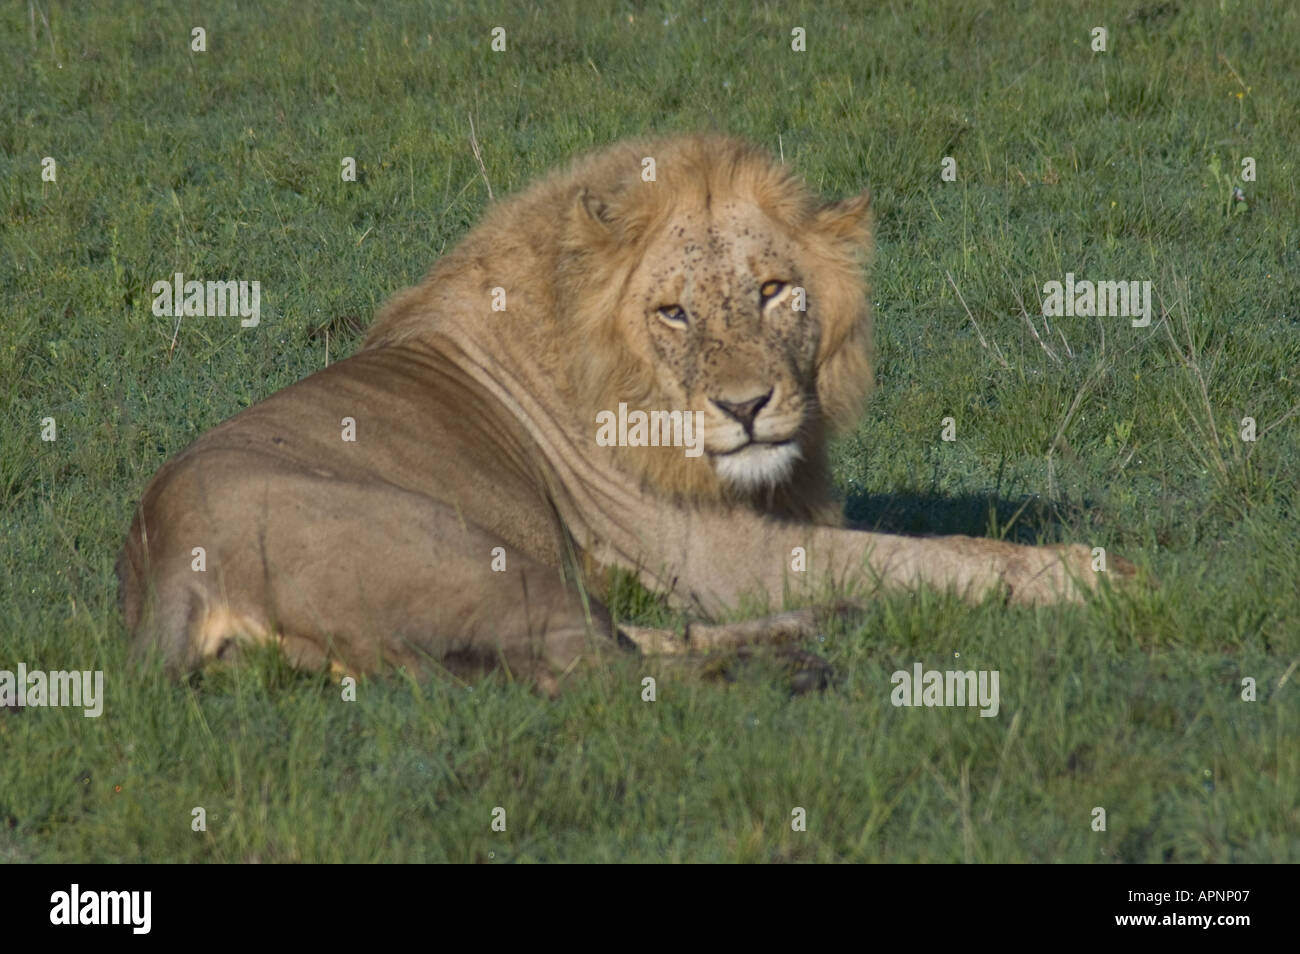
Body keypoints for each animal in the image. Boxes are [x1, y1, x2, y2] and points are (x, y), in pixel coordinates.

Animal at [118, 134, 1128, 693]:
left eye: (773, 291)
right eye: (673, 311)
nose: (746, 407)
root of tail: (166, 557)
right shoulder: (722, 556)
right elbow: (936, 557)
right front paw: (1088, 576)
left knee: (622, 639)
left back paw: (814, 631)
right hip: (475, 553)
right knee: (605, 674)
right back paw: (795, 664)